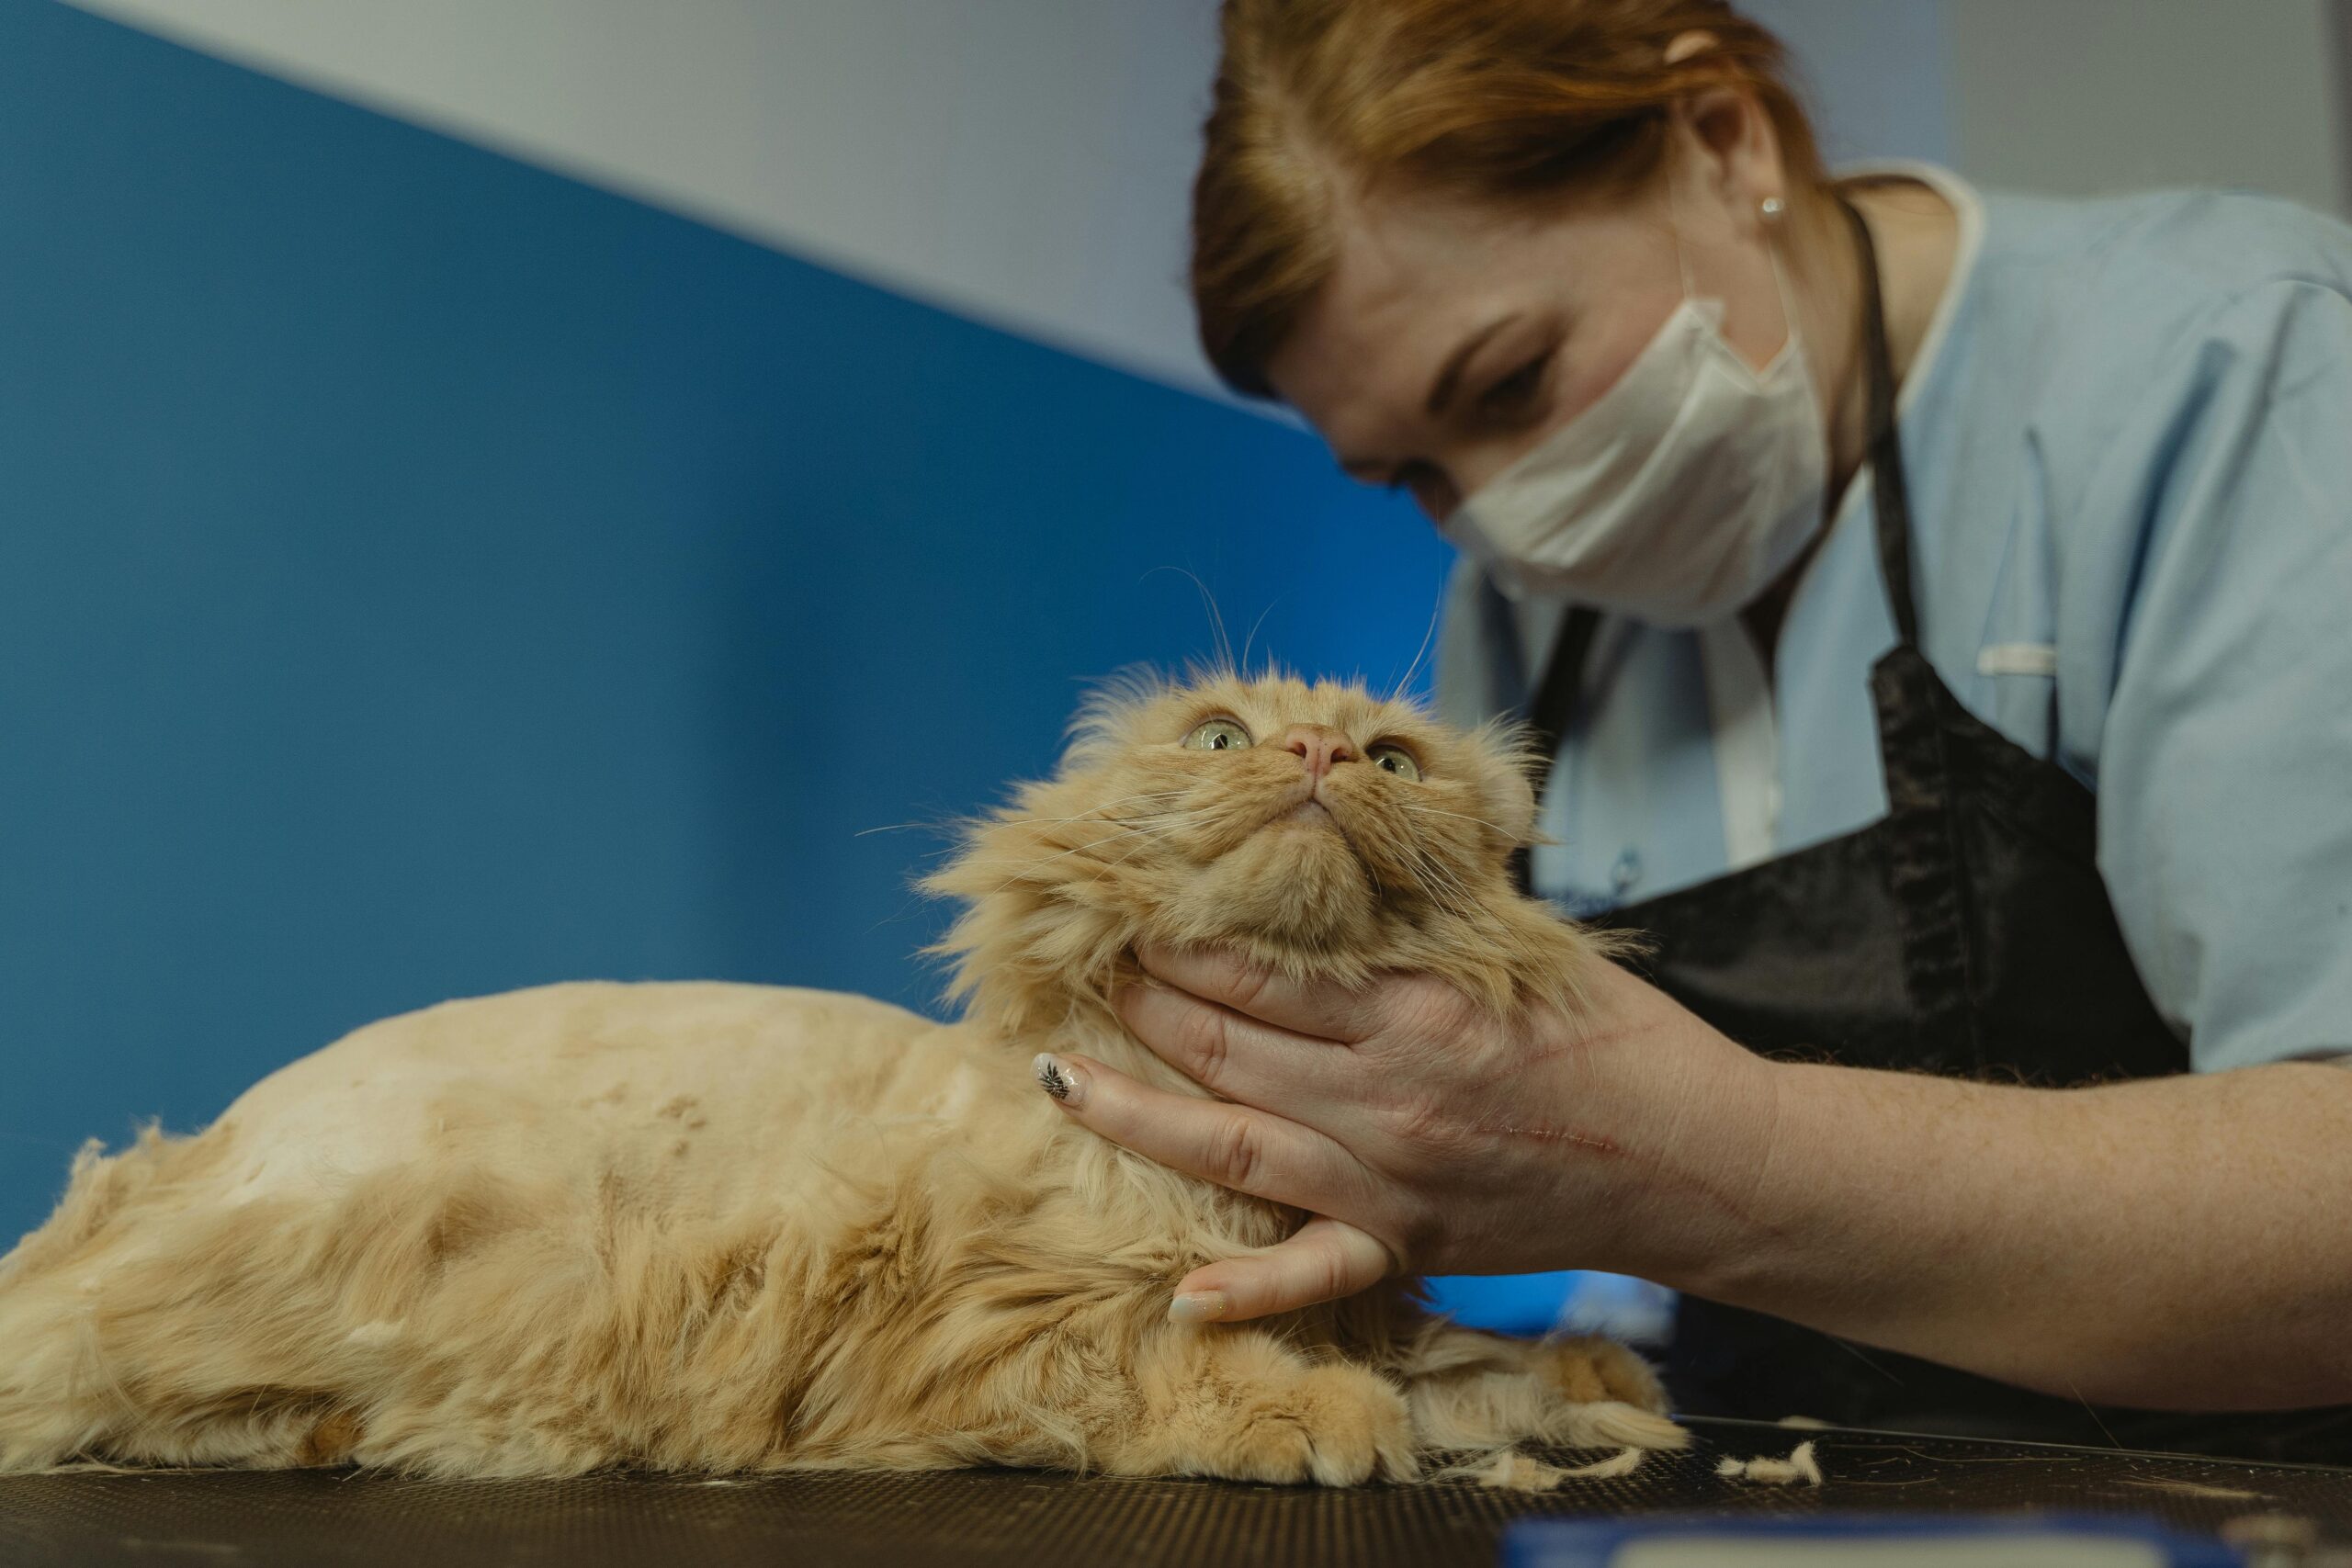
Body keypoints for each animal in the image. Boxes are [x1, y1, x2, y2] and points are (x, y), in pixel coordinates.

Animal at [5, 667, 1693, 1495]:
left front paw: (1592, 1383)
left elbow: (1463, 1361)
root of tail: (176, 1152)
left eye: (1393, 760)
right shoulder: (954, 1308)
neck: (1228, 1188)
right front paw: (1313, 1413)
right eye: (1222, 735)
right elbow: (1156, 1353)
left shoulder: (1358, 1281)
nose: (1314, 756)